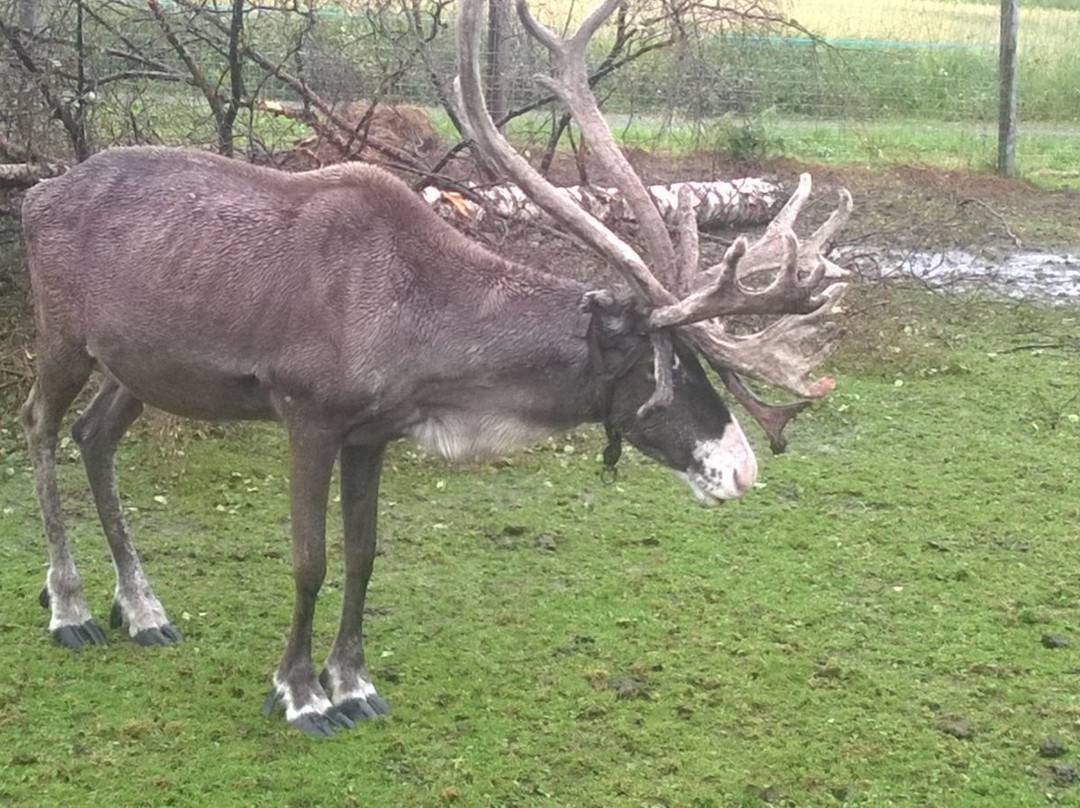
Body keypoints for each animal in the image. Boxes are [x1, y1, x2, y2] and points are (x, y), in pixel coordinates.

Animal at [17, 0, 851, 736]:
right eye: (666, 366)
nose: (741, 467)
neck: (425, 336)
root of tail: (35, 192)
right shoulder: (306, 414)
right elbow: (310, 560)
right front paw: (300, 694)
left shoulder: (370, 431)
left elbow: (362, 556)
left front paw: (354, 685)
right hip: (62, 334)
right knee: (39, 424)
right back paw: (71, 608)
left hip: (138, 365)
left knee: (94, 435)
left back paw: (143, 610)